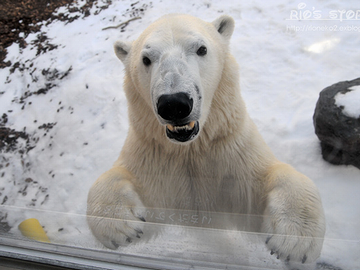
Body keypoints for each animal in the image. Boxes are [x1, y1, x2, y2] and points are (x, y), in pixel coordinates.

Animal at [88, 13, 326, 264]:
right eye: (145, 58)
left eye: (201, 49)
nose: (174, 104)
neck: (191, 147)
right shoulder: (154, 153)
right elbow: (133, 188)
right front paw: (118, 225)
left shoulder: (230, 148)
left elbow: (261, 185)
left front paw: (295, 239)